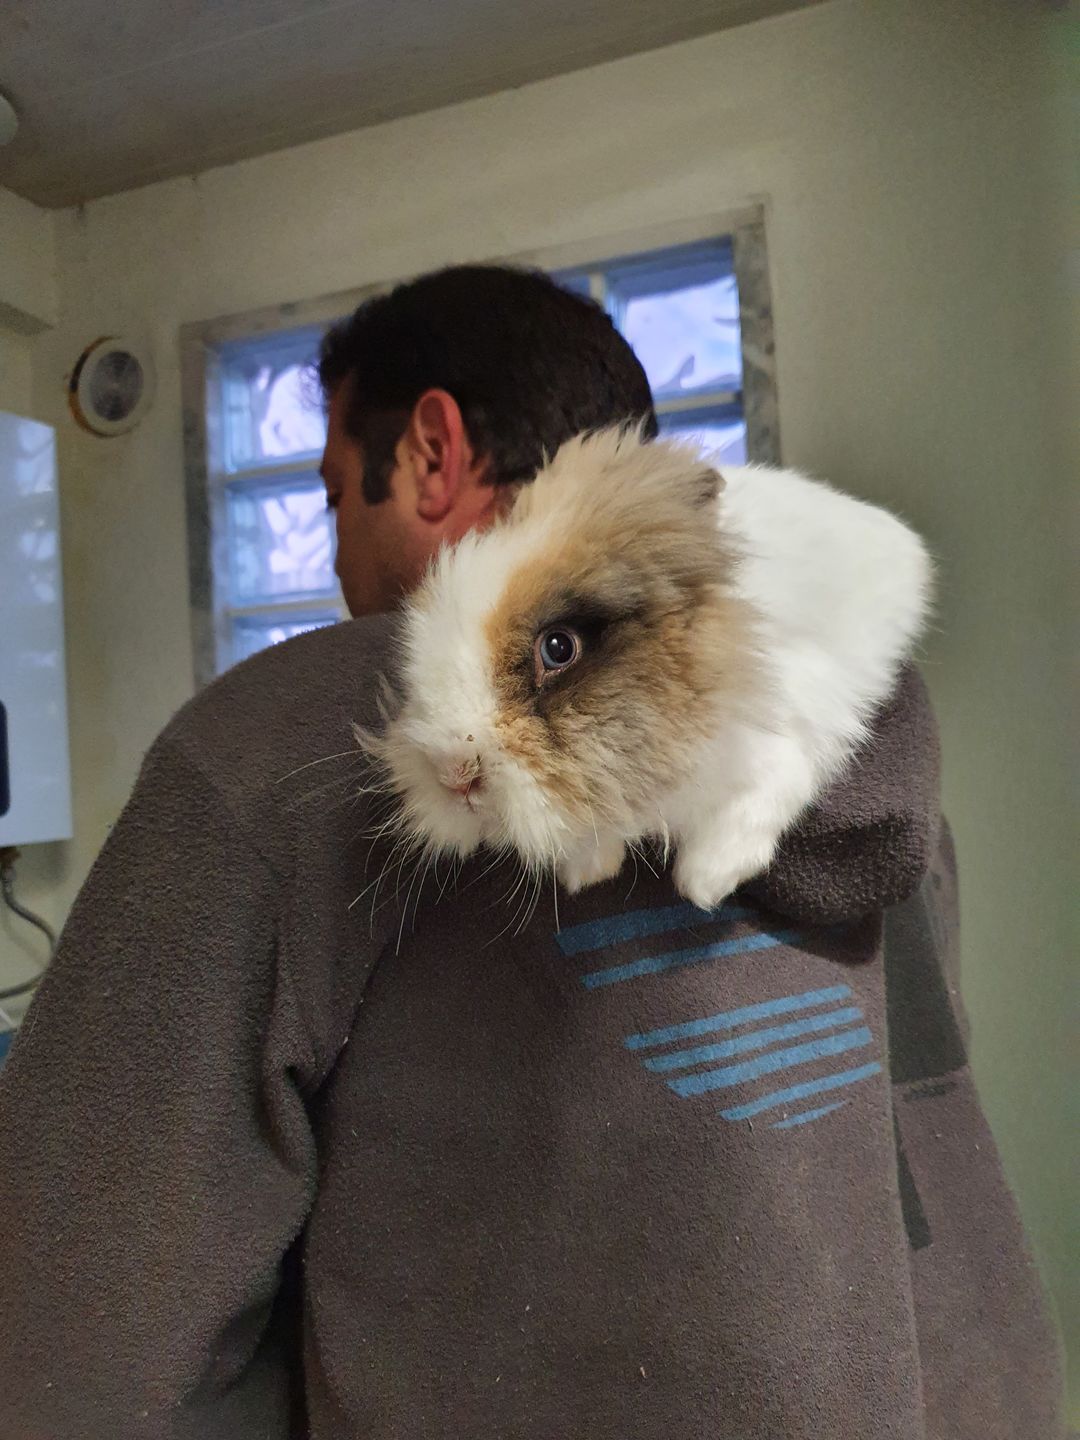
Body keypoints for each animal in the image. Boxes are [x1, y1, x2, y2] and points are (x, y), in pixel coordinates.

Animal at [364, 426, 932, 913]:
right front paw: (588, 870)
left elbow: (765, 796)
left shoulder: (787, 741)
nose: (452, 775)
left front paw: (705, 881)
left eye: (558, 648)